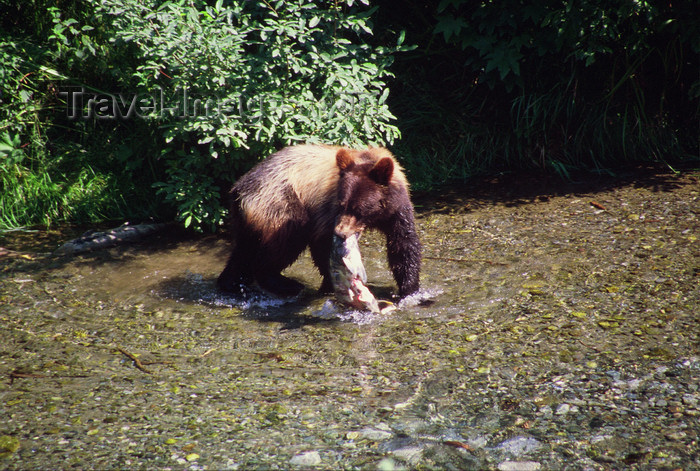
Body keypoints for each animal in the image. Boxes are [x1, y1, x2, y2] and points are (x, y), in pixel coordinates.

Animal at [217, 144, 422, 298]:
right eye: (342, 204)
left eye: (359, 208)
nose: (341, 232)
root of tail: (240, 190)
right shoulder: (326, 210)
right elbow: (321, 242)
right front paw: (331, 284)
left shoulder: (397, 210)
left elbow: (403, 242)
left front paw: (409, 289)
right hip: (279, 203)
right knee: (286, 239)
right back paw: (286, 284)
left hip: (245, 219)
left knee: (244, 248)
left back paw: (231, 282)